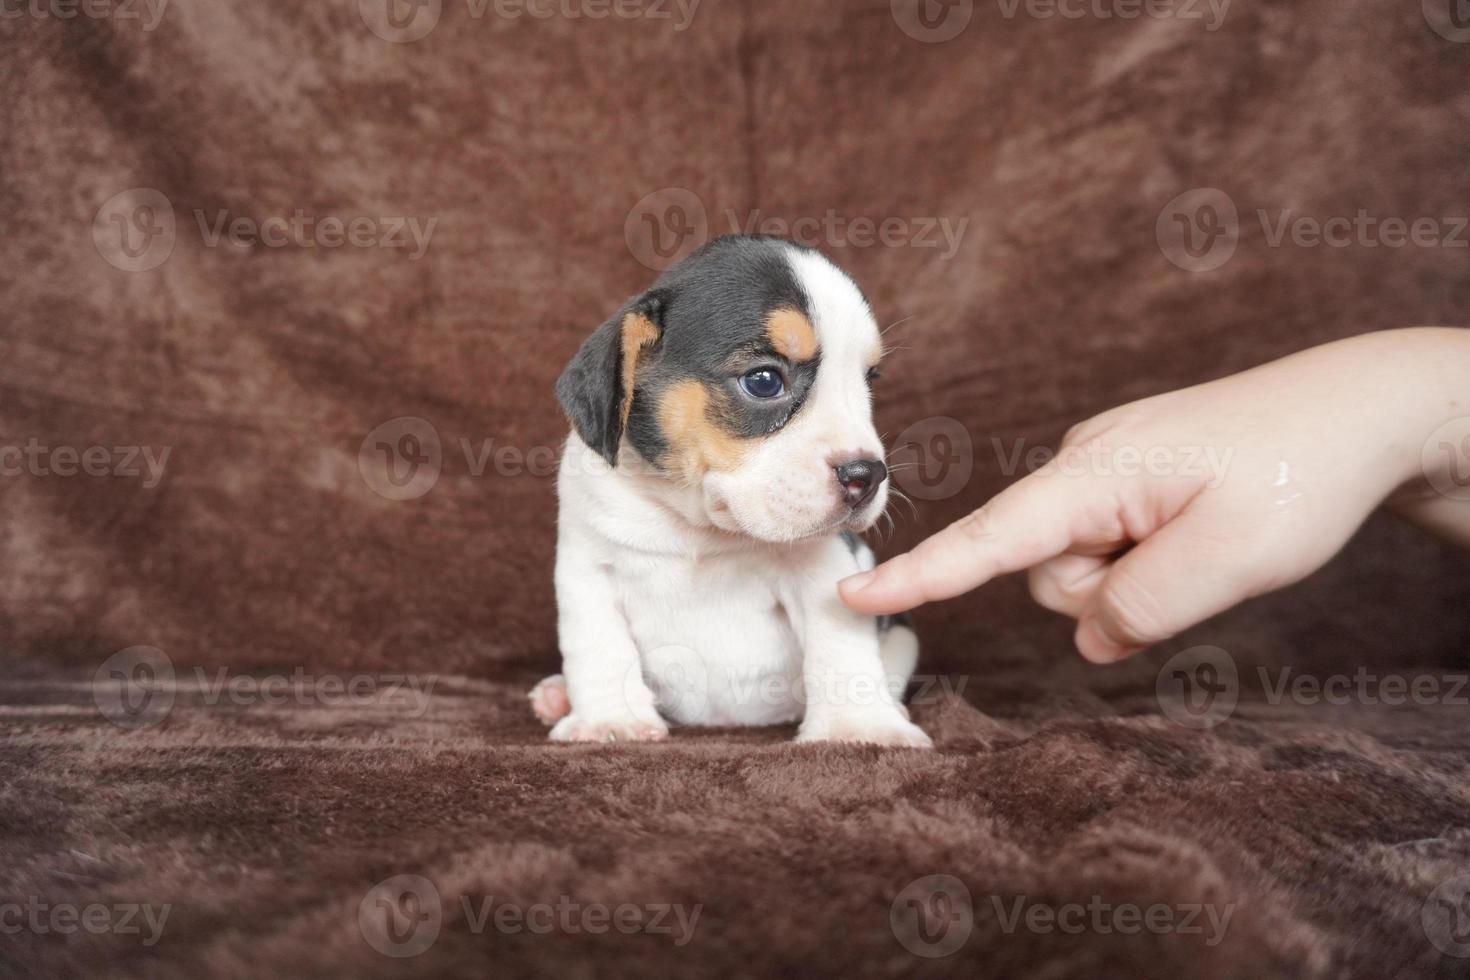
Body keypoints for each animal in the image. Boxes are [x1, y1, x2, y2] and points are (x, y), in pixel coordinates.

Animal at [532, 235, 929, 752]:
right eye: (763, 381)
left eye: (868, 381)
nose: (868, 473)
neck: (697, 524)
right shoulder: (587, 572)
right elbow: (598, 648)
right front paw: (609, 719)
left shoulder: (826, 572)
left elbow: (841, 648)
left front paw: (858, 727)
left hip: (901, 635)